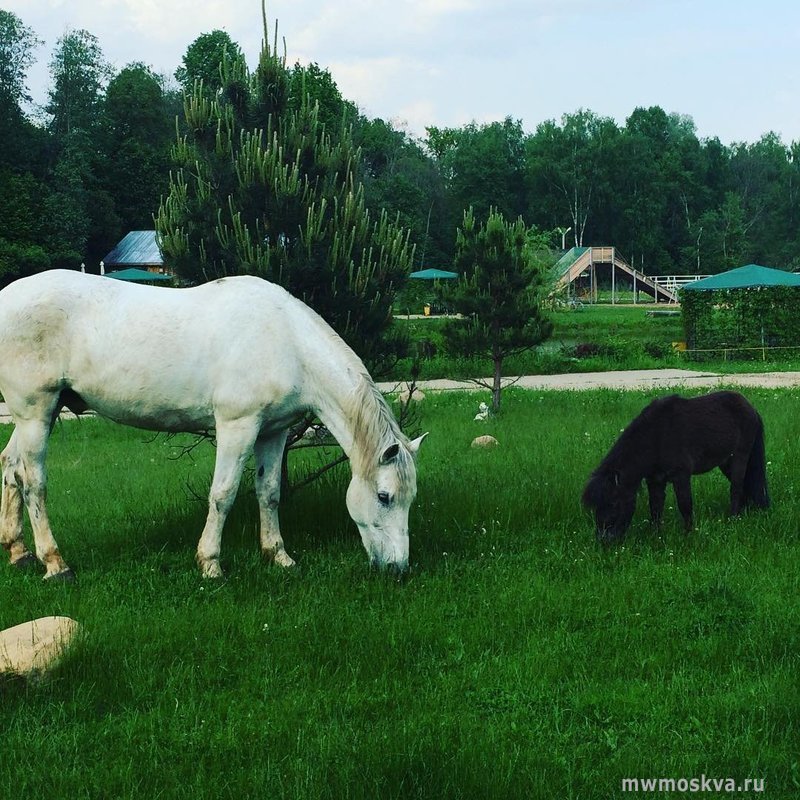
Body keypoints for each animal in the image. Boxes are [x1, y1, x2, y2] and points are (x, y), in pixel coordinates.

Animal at [0, 272, 424, 580]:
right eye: (384, 496)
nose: (398, 570)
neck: (285, 340)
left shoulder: (273, 432)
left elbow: (269, 492)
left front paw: (278, 556)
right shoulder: (238, 426)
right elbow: (223, 494)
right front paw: (210, 563)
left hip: (35, 415)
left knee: (10, 467)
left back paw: (18, 552)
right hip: (36, 413)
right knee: (33, 481)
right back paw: (55, 564)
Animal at [580, 390, 768, 544]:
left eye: (613, 503)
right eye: (596, 506)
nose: (604, 541)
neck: (657, 436)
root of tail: (751, 408)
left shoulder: (681, 476)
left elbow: (685, 505)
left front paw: (689, 534)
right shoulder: (655, 481)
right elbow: (655, 508)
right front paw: (655, 535)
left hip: (740, 457)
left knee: (736, 488)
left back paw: (733, 519)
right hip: (725, 462)